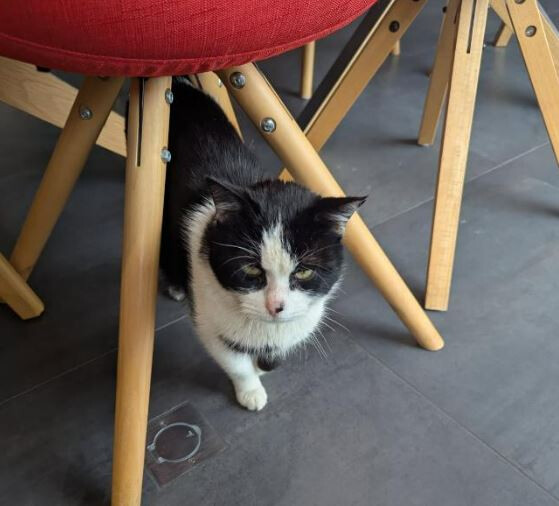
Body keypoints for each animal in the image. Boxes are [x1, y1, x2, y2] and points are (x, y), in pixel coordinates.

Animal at [160, 78, 365, 411]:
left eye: (304, 272)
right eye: (251, 270)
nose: (276, 307)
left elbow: (273, 353)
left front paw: (263, 367)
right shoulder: (209, 319)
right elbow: (234, 361)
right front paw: (251, 391)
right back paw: (176, 285)